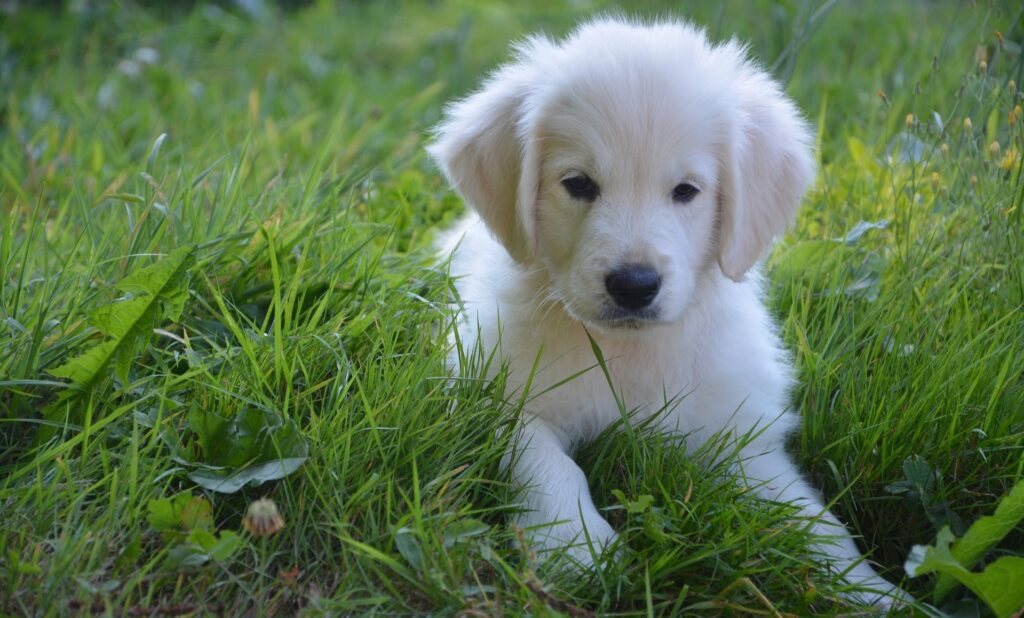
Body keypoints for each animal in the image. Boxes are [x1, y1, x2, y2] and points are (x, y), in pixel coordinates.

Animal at [428, 18, 901, 601]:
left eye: (686, 190)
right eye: (578, 184)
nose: (634, 285)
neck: (627, 352)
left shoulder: (740, 437)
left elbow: (812, 519)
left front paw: (874, 592)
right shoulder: (492, 391)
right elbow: (545, 462)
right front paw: (578, 546)